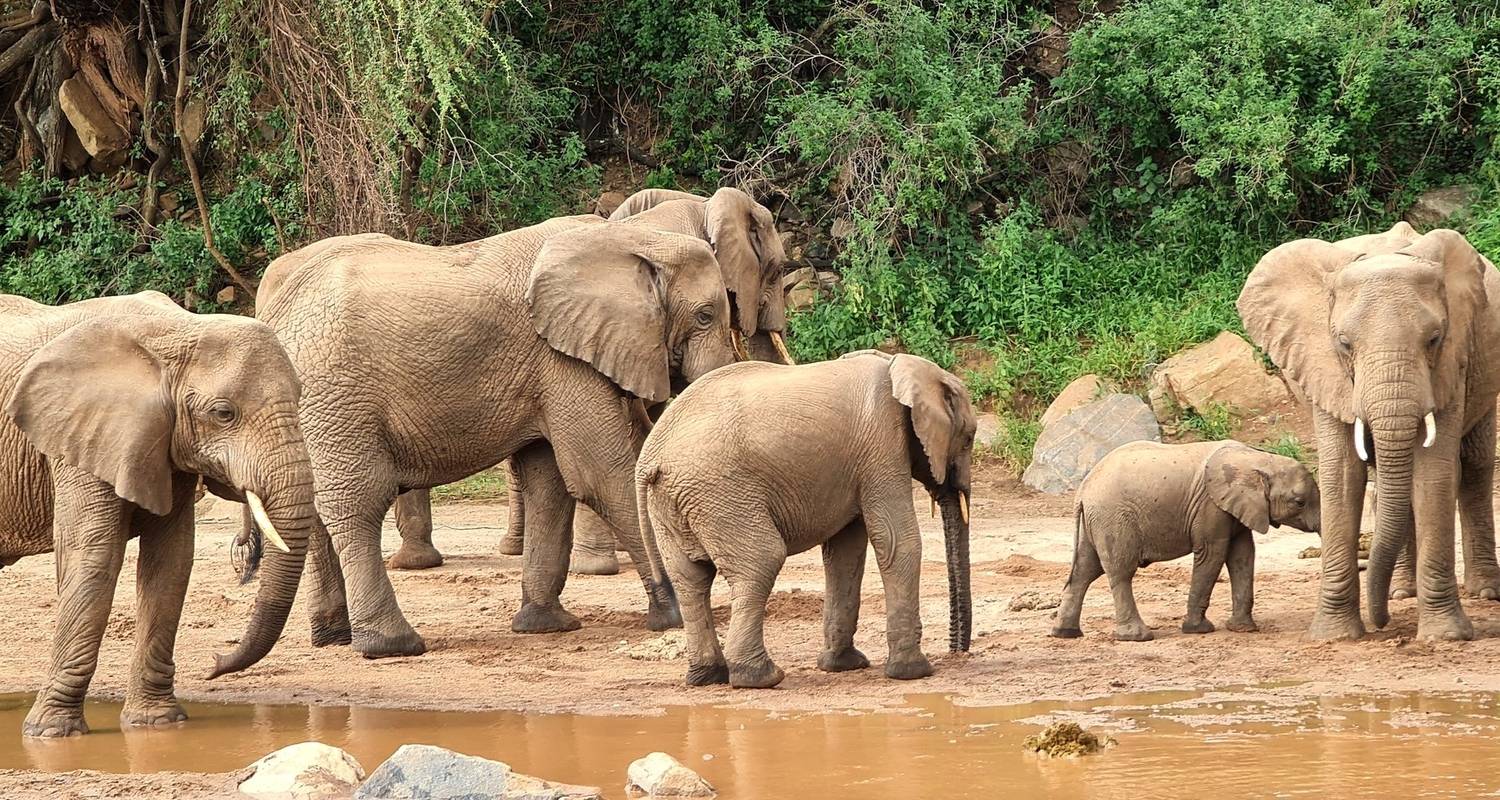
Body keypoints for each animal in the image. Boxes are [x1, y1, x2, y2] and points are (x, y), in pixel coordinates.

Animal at [0, 289, 316, 732]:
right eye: (223, 413)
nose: (214, 662)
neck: (179, 330)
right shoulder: (78, 433)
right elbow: (93, 558)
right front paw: (51, 731)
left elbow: (171, 561)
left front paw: (158, 723)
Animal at [264, 216, 744, 654]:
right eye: (705, 316)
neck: (632, 238)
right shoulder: (563, 361)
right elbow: (600, 476)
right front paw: (670, 616)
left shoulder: (549, 367)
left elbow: (549, 483)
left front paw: (545, 626)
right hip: (338, 395)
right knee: (357, 503)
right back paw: (392, 644)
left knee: (316, 506)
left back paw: (333, 638)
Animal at [1050, 441, 1320, 639]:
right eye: (1299, 502)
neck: (1259, 459)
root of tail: (1083, 491)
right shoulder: (1209, 506)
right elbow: (1213, 554)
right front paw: (1198, 630)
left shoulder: (1235, 508)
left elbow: (1243, 555)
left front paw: (1243, 629)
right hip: (1113, 518)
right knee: (1120, 571)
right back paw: (1137, 637)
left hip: (1095, 522)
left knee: (1085, 571)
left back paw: (1065, 633)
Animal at [1236, 222, 1500, 639]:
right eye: (1344, 343)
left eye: (1434, 339)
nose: (1384, 624)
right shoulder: (1323, 367)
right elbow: (1342, 474)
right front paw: (1335, 636)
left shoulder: (1451, 363)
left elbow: (1434, 473)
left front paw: (1446, 636)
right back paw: (1400, 593)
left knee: (1474, 466)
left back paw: (1484, 592)